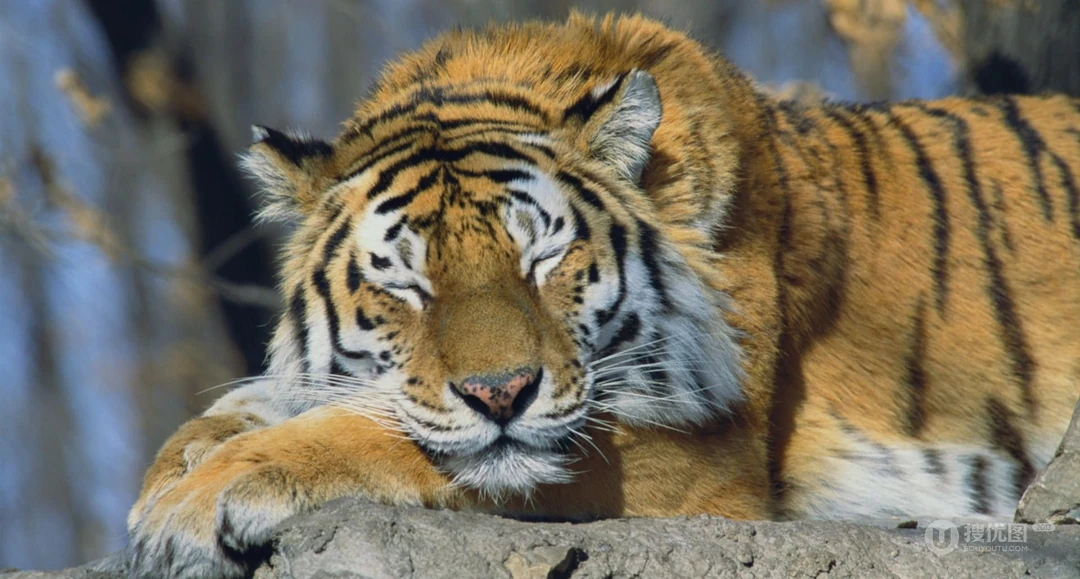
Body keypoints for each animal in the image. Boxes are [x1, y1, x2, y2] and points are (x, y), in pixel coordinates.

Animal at [125, 12, 1080, 578]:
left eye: (543, 256)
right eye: (406, 280)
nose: (501, 393)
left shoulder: (697, 463)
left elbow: (376, 435)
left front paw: (191, 503)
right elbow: (269, 403)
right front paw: (176, 469)